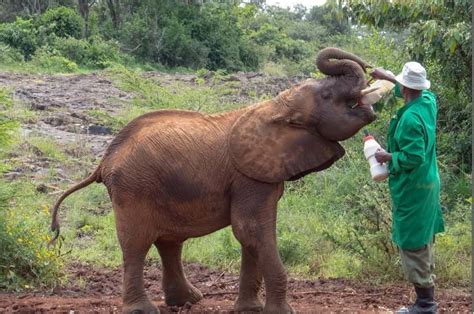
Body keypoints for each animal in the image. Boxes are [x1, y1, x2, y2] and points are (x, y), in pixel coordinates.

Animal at [51, 47, 378, 314]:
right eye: (327, 97)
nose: (373, 69)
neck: (274, 106)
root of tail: (104, 160)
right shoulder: (248, 176)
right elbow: (251, 229)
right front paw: (281, 312)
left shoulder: (261, 173)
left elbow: (252, 234)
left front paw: (250, 309)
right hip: (132, 187)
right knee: (137, 243)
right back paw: (143, 310)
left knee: (169, 242)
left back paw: (187, 301)